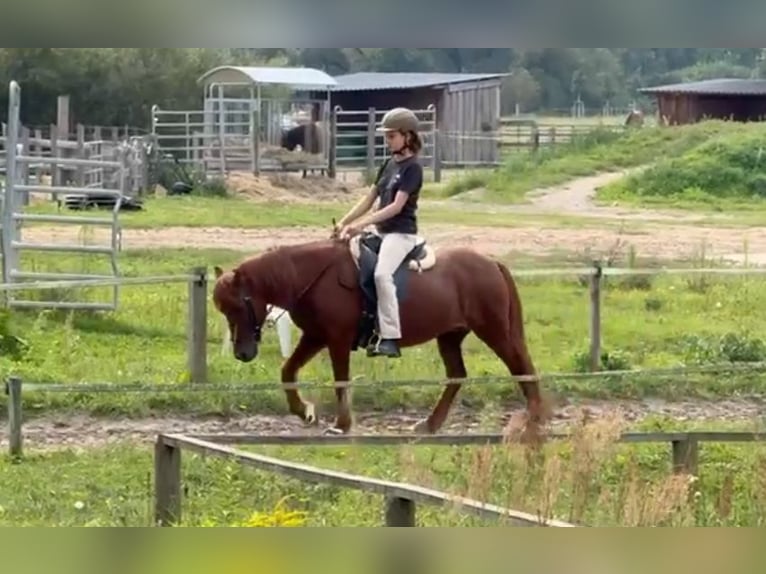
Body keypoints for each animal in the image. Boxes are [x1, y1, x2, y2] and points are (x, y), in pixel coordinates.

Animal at [212, 231, 547, 438]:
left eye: (239, 305)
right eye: (223, 309)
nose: (242, 353)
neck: (316, 275)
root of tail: (491, 262)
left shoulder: (336, 339)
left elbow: (340, 380)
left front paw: (342, 424)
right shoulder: (315, 336)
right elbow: (287, 371)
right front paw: (303, 411)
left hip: (494, 331)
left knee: (521, 367)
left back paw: (533, 419)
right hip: (450, 336)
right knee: (457, 375)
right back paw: (430, 424)